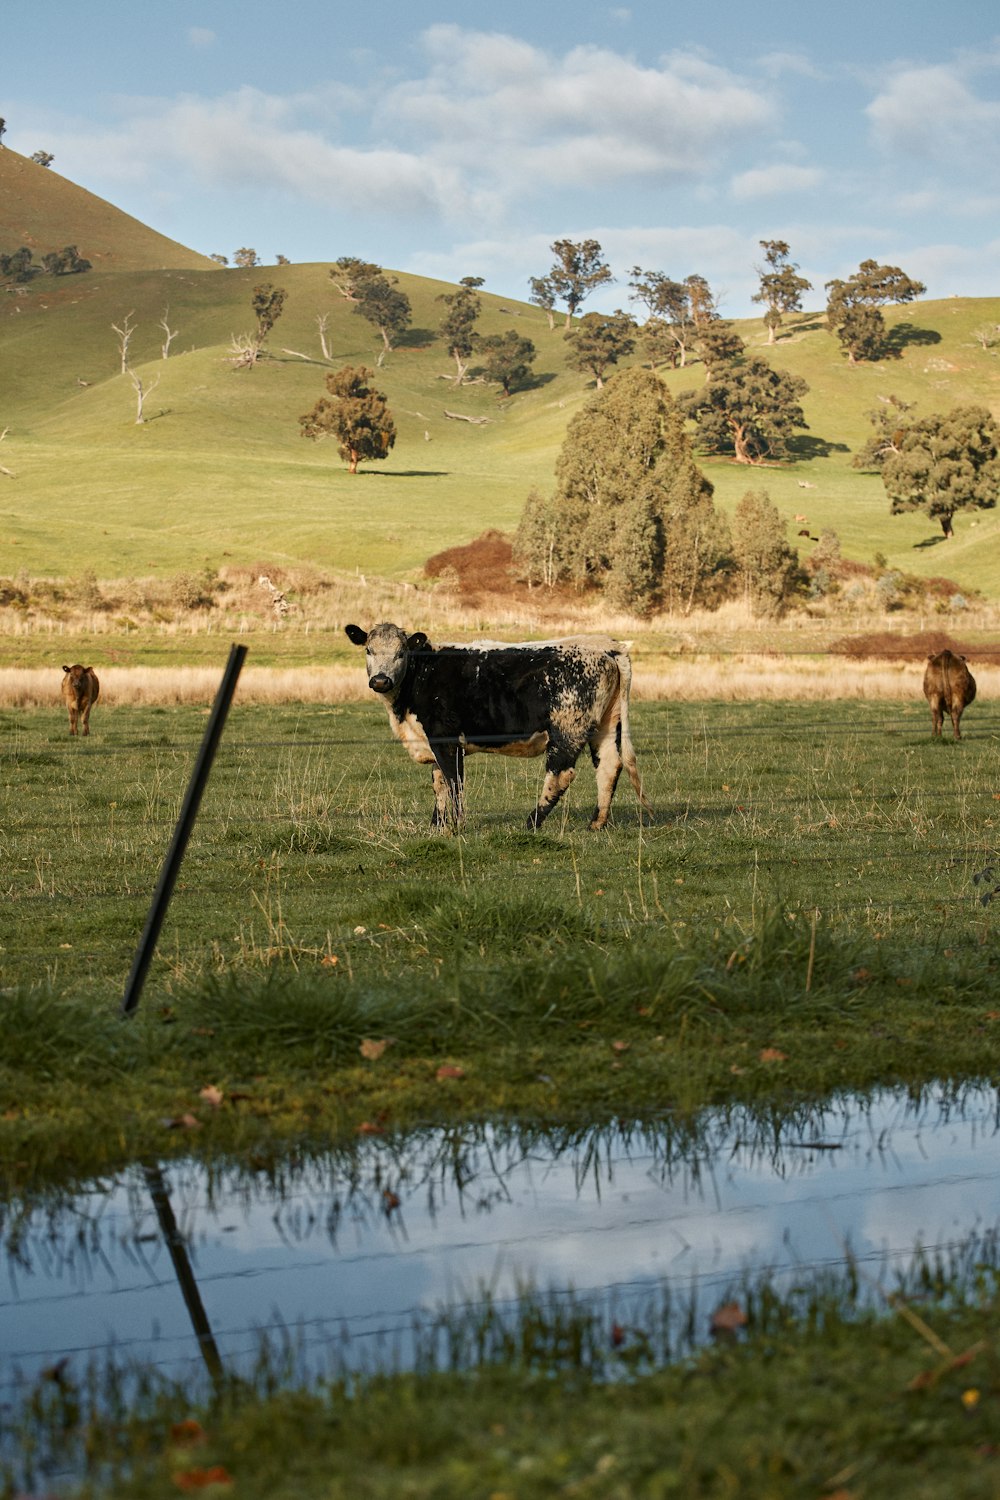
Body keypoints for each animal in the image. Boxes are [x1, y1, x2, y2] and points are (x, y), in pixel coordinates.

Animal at [347, 621, 653, 834]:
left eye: (401, 653)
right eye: (368, 650)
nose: (380, 680)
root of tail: (603, 644)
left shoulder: (445, 739)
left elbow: (453, 782)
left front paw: (457, 826)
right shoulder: (435, 743)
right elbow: (439, 782)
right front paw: (437, 826)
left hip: (568, 730)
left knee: (560, 774)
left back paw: (531, 823)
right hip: (606, 725)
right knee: (609, 766)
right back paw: (596, 823)